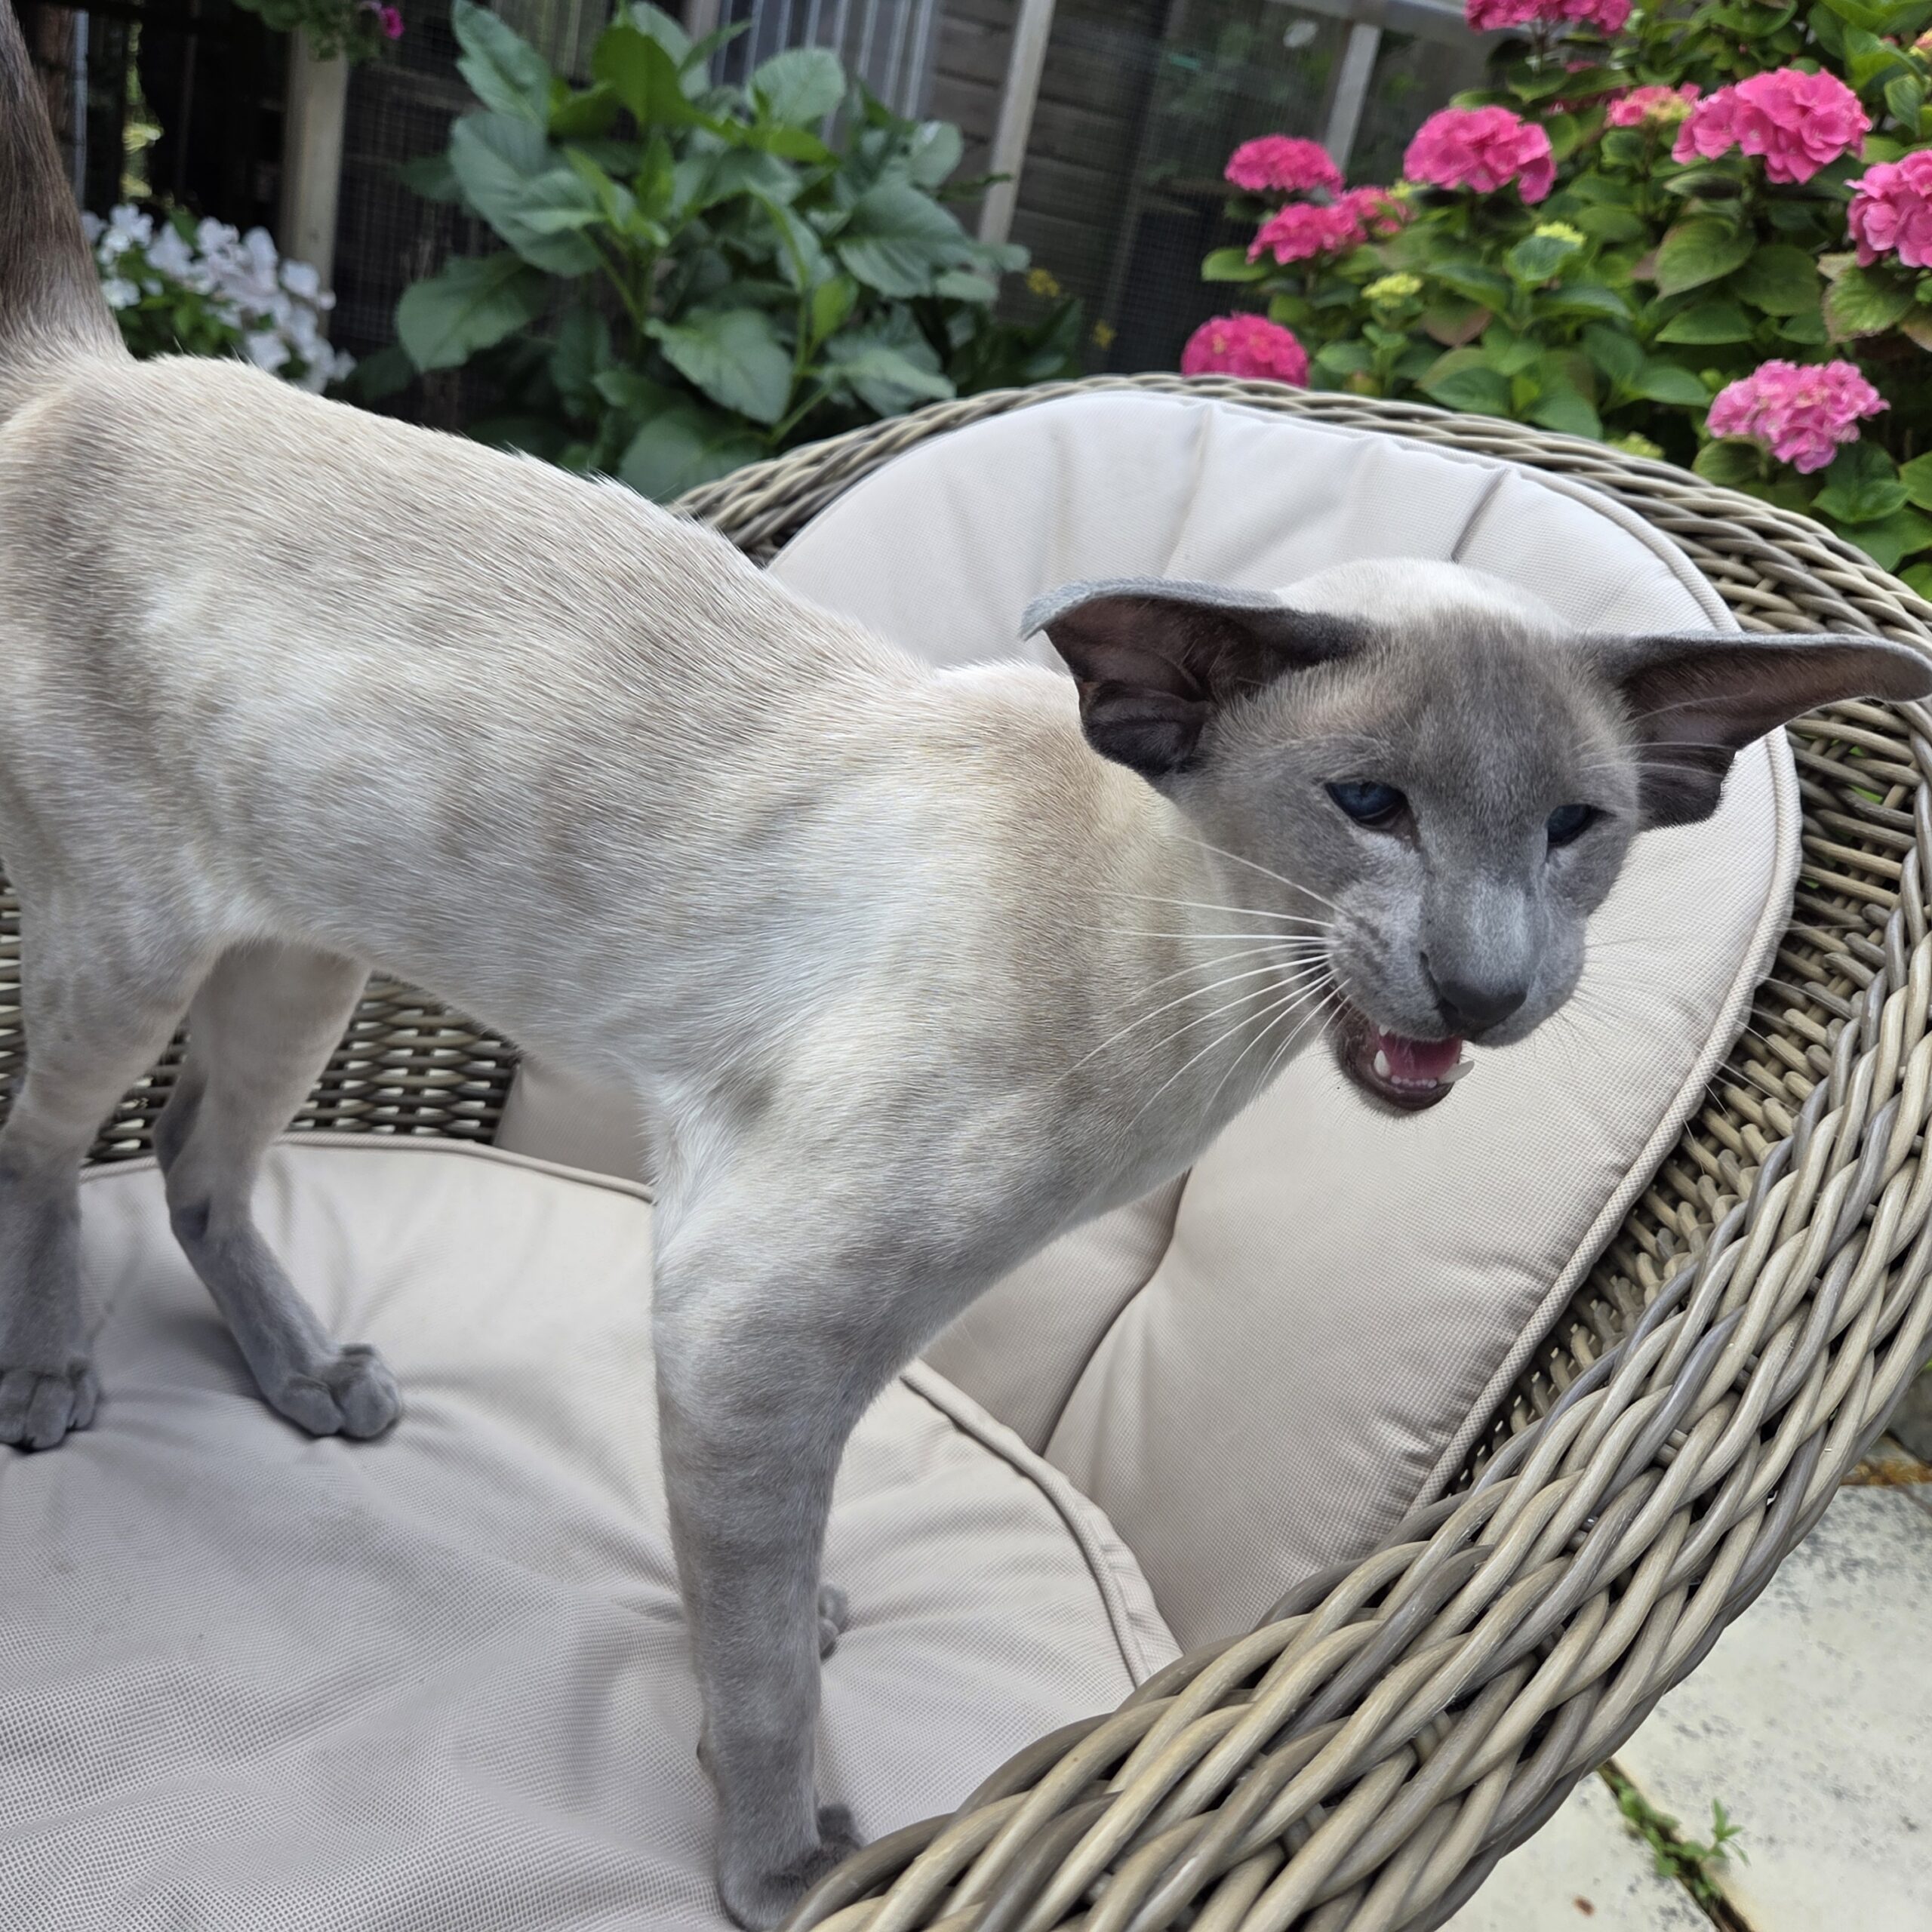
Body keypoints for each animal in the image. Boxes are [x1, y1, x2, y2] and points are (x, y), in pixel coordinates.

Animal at [3, 18, 1927, 1926]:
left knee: (197, 1163)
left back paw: (304, 1380)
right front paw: (790, 1862)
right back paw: (48, 1384)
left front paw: (804, 1625)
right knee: (50, 1138)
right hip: (141, 937)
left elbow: (774, 1562)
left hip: (299, 949)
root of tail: (99, 371)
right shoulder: (747, 1316)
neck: (1184, 1034)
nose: (1481, 985)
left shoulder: (832, 1335)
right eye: (1368, 807)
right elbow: (757, 1658)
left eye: (1571, 831)